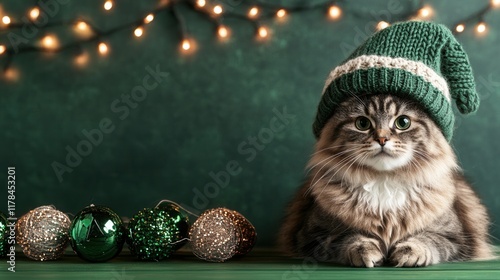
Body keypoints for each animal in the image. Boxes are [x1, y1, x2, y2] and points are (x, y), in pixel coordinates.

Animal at [280, 94, 494, 266]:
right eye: (362, 124)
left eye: (403, 122)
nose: (382, 139)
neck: (384, 180)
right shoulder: (314, 235)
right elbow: (349, 238)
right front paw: (364, 251)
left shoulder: (456, 237)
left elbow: (428, 240)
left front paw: (411, 253)